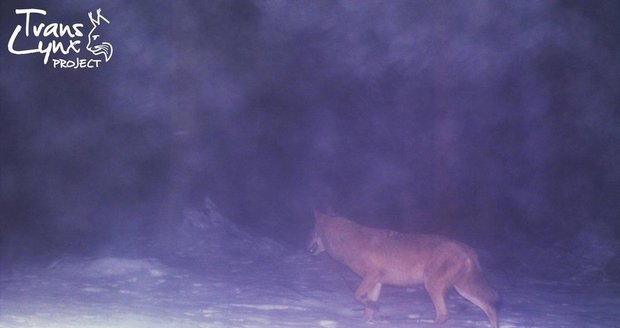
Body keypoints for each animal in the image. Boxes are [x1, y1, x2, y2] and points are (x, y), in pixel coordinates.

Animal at [308, 211, 498, 326]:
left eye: (313, 233)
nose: (306, 247)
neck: (348, 242)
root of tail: (467, 248)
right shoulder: (377, 283)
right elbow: (367, 310)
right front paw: (368, 319)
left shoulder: (371, 277)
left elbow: (356, 296)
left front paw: (373, 307)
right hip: (463, 290)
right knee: (491, 309)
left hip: (433, 286)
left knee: (444, 314)